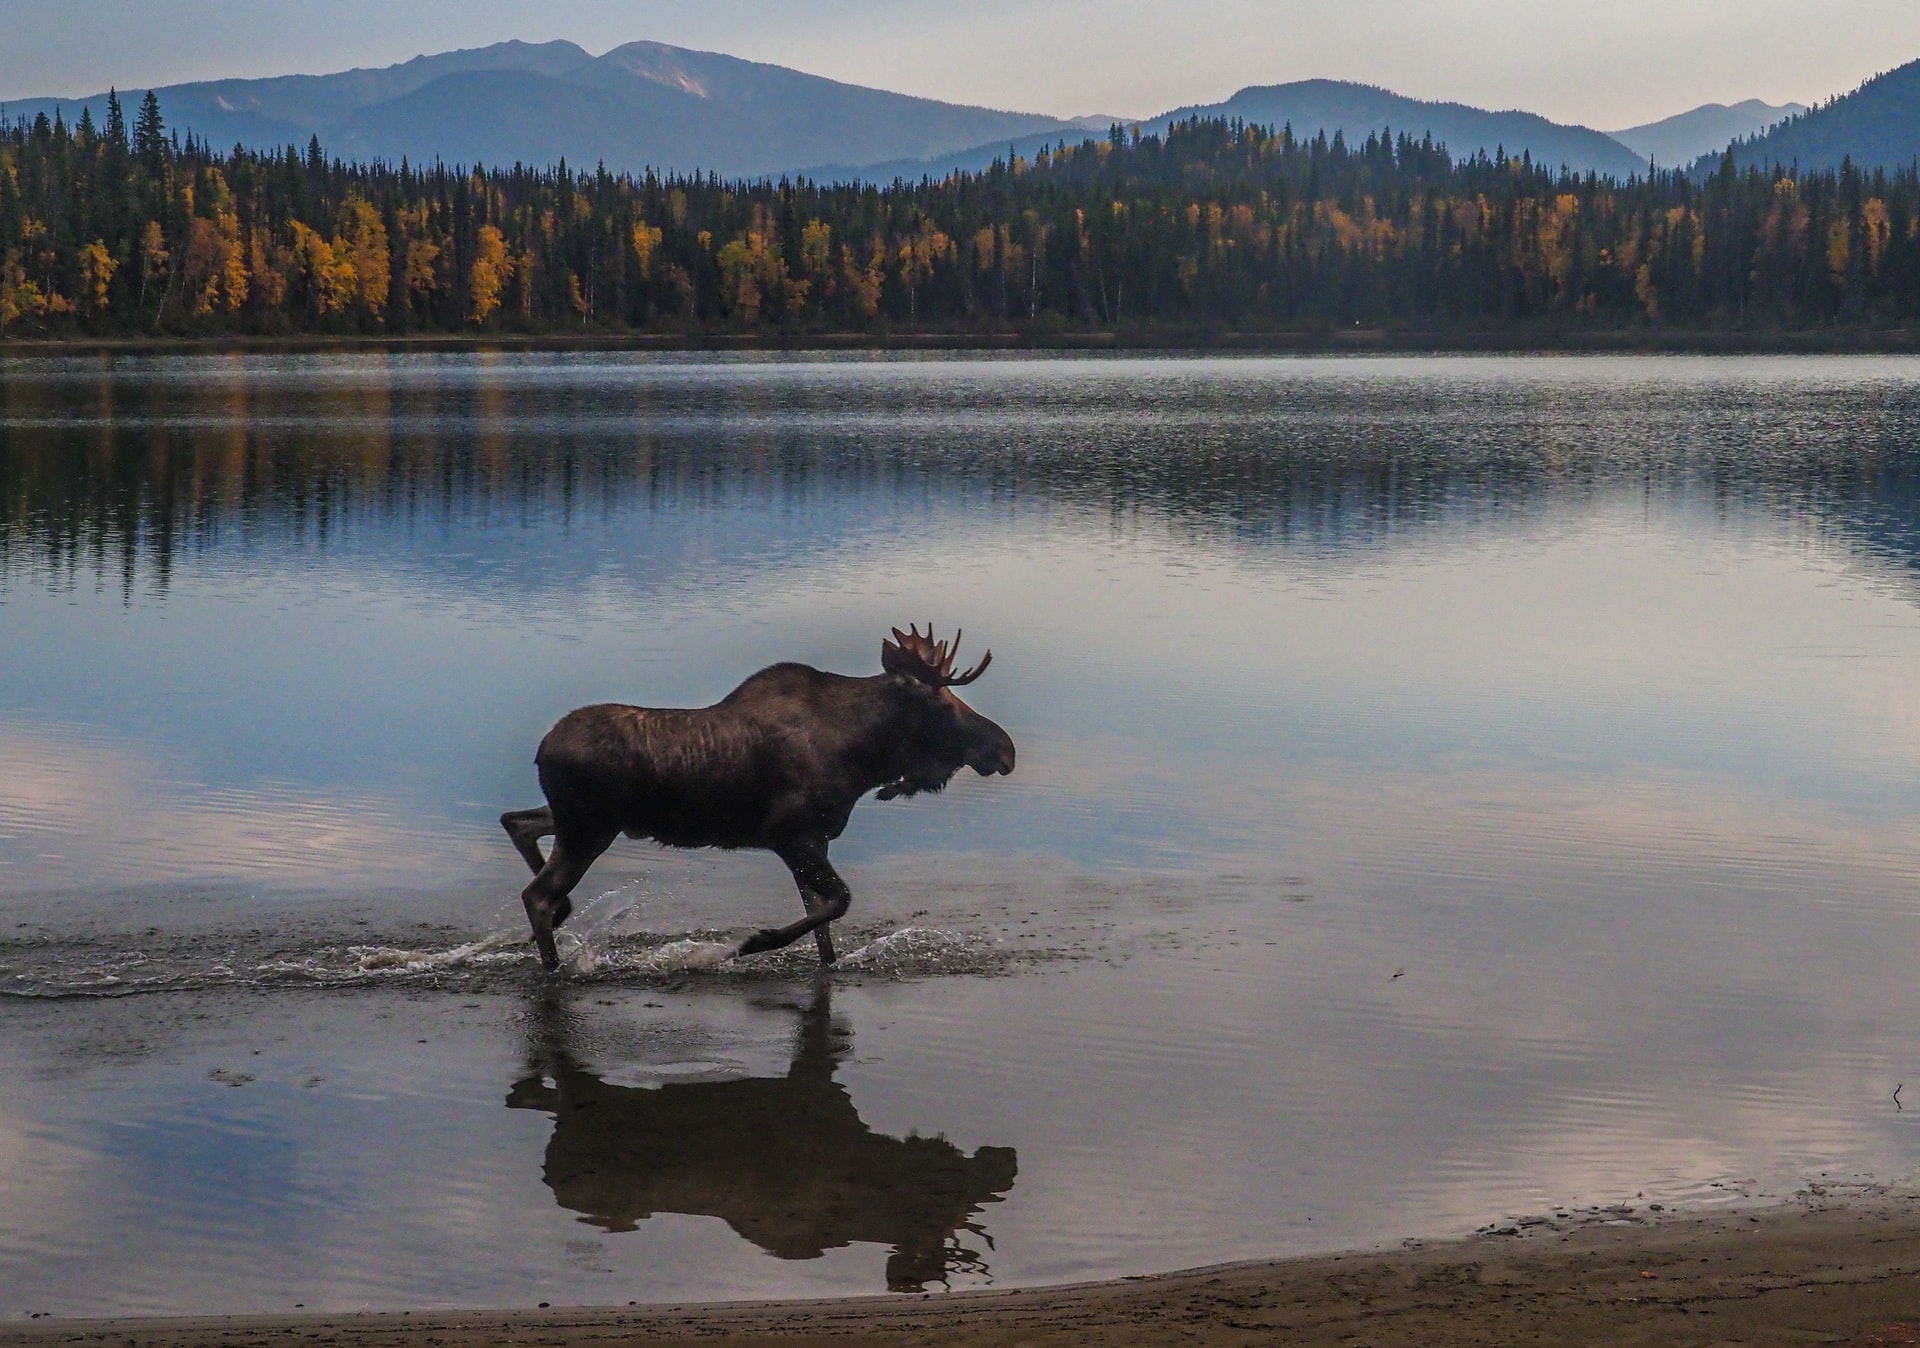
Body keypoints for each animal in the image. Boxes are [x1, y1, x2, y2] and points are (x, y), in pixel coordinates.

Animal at [499, 629, 1021, 967]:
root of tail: (541, 750)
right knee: (536, 894)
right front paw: (754, 942)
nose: (1005, 749)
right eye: (942, 703)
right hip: (588, 828)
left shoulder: (816, 839)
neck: (862, 757)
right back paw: (554, 963)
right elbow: (839, 902)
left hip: (582, 821)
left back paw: (563, 917)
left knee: (517, 822)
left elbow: (823, 924)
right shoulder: (789, 834)